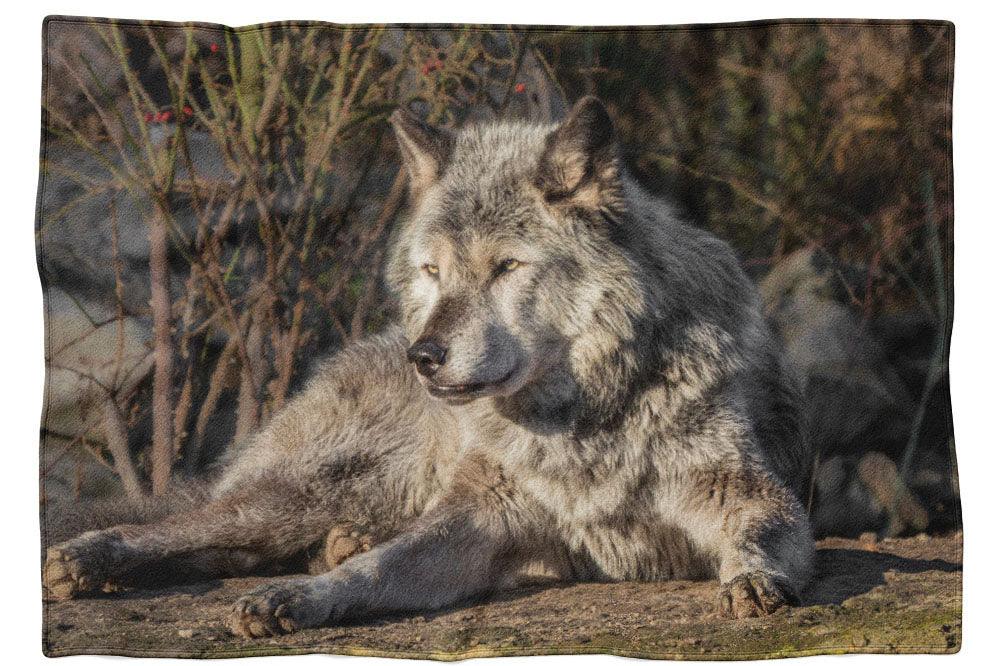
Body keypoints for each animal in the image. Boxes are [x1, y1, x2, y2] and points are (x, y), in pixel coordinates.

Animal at [43, 97, 816, 632]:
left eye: (507, 267)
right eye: (433, 271)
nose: (424, 356)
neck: (582, 420)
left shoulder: (745, 492)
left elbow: (759, 535)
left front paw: (752, 581)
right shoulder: (483, 515)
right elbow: (375, 570)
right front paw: (300, 598)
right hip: (305, 493)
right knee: (192, 525)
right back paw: (90, 557)